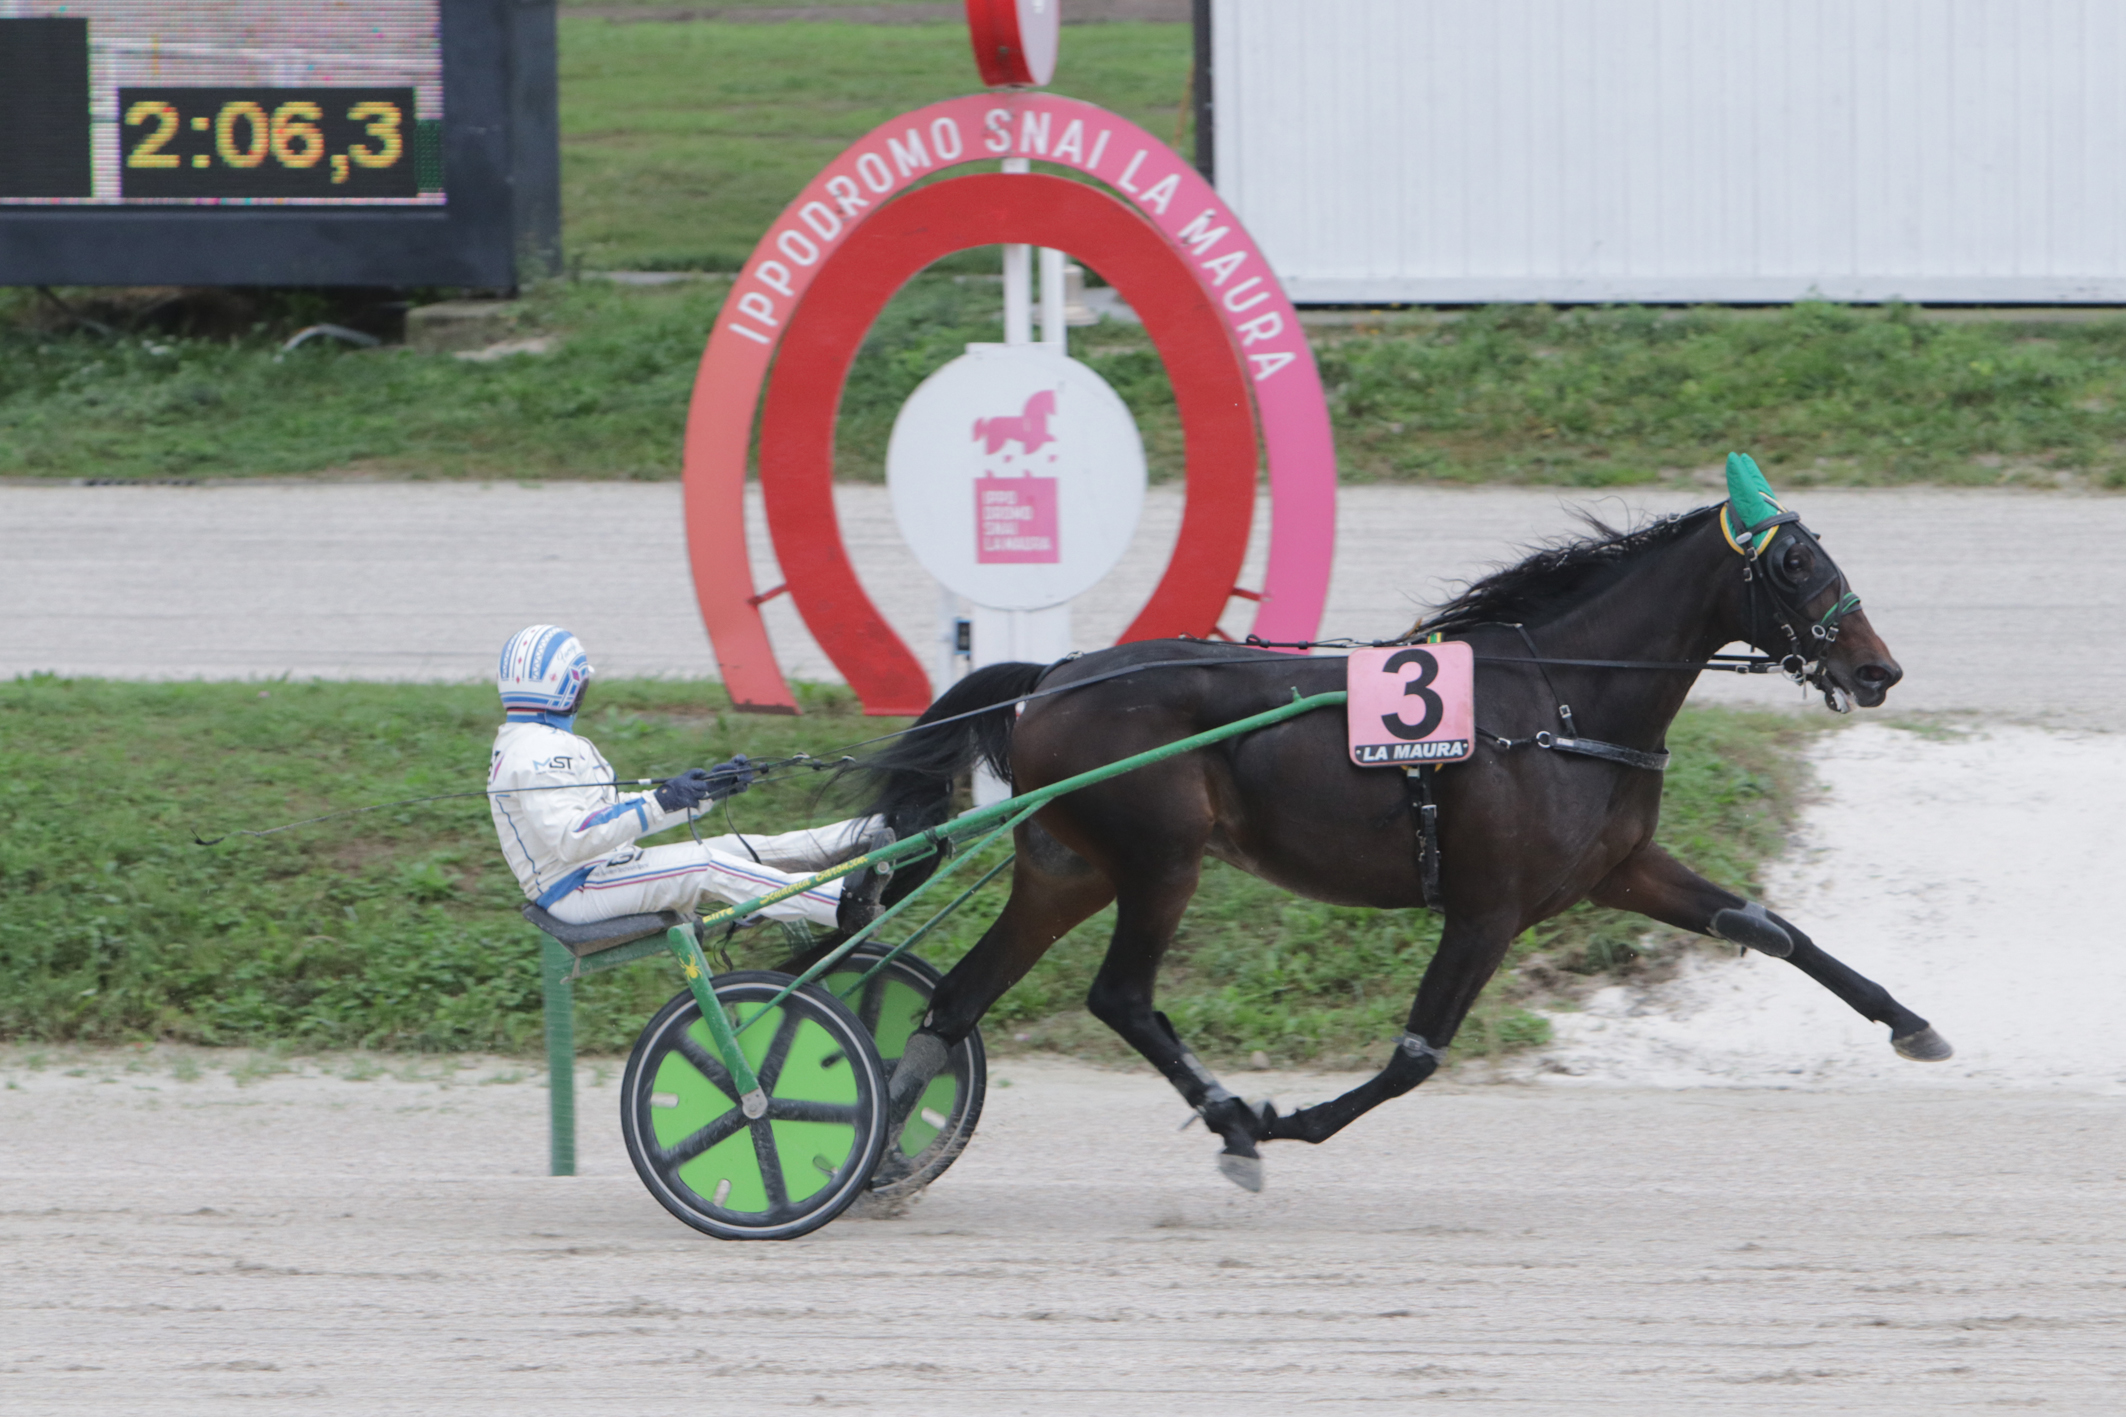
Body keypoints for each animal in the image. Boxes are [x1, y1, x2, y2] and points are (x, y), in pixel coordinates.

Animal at [854, 461, 1947, 1189]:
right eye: (1796, 562)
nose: (1877, 669)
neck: (1560, 701)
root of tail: (1051, 676)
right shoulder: (1487, 906)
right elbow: (1417, 1052)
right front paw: (1287, 1120)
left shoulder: (1619, 870)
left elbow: (1773, 928)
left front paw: (1913, 1024)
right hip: (1160, 860)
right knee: (1121, 996)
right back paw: (1232, 1122)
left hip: (1069, 868)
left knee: (953, 1001)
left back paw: (881, 1152)